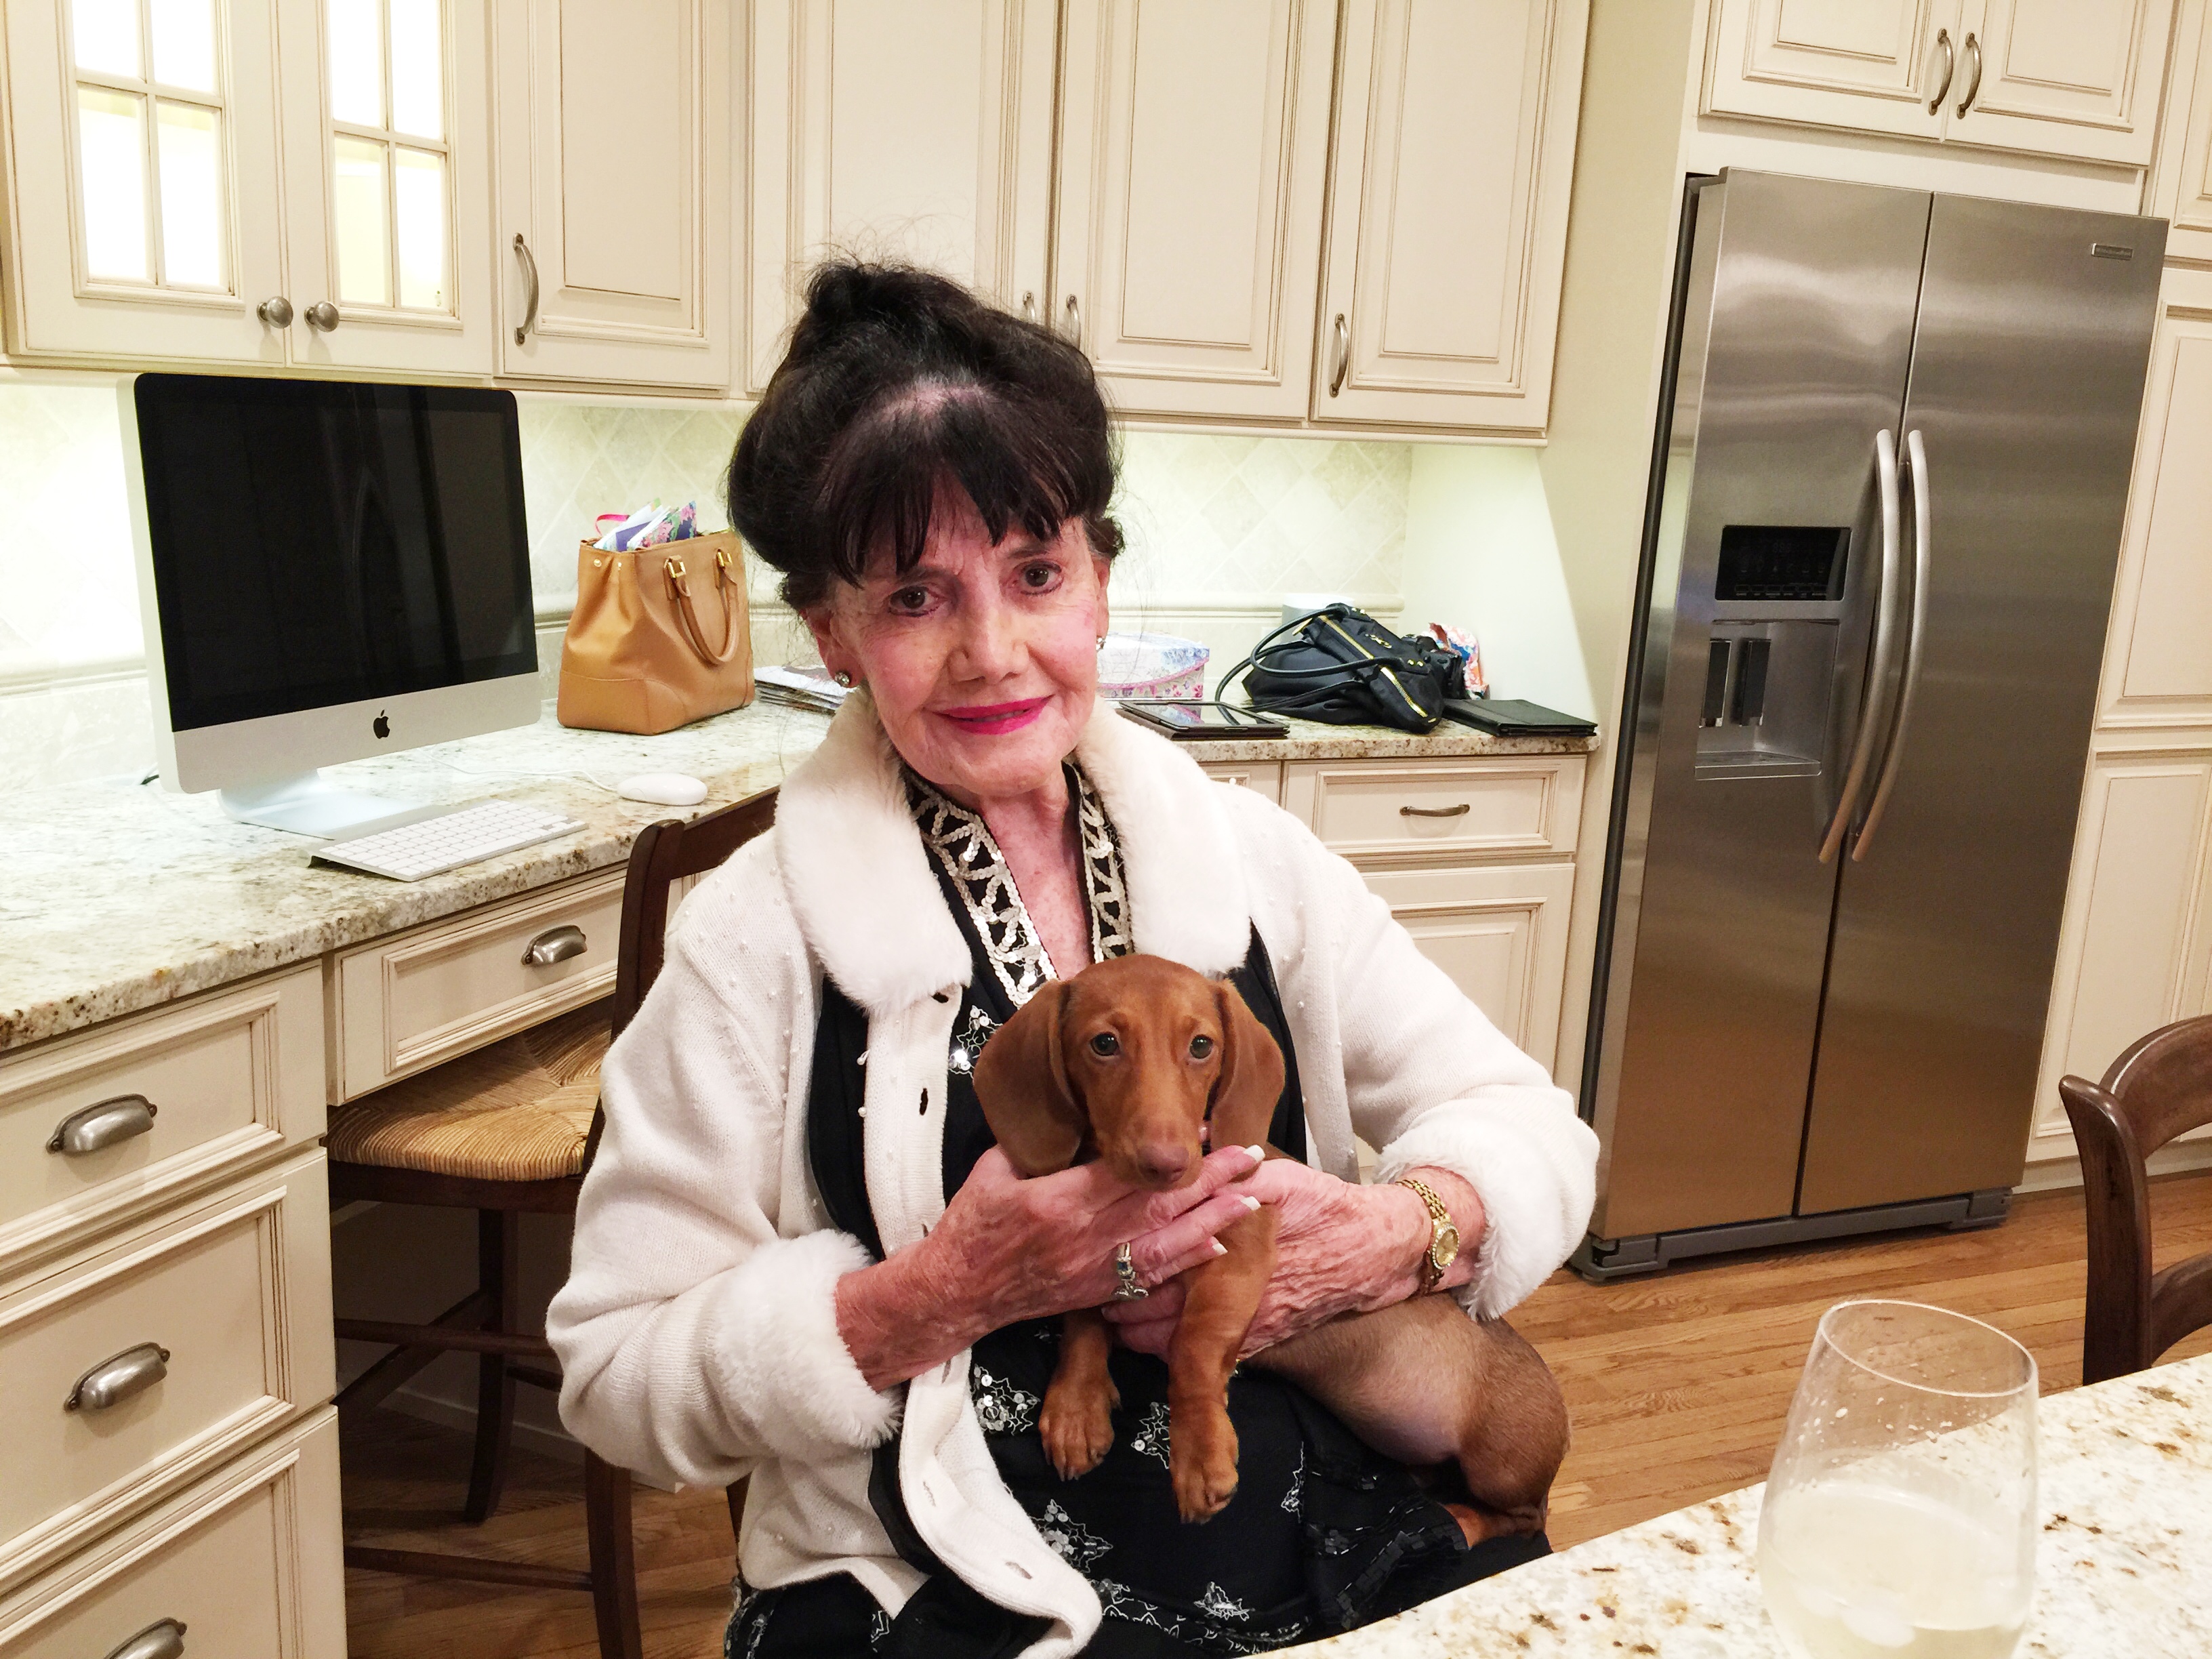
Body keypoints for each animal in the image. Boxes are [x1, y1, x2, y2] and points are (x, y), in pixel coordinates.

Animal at [971, 953, 1567, 1533]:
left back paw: (1459, 1524)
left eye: (1201, 1045)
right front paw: (1077, 1406)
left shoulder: (1241, 1248)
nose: (1167, 1165)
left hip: (1501, 1465)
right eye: (1104, 1044)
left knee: (1525, 1516)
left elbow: (1193, 1346)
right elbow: (1084, 1321)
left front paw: (1200, 1454)